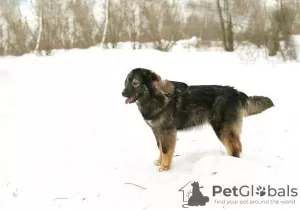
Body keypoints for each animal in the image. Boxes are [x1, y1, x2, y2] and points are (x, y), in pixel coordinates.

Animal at [121, 68, 274, 171]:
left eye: (135, 83)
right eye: (126, 82)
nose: (122, 93)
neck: (157, 97)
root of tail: (236, 93)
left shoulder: (167, 131)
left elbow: (165, 150)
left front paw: (165, 166)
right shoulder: (157, 131)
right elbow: (159, 147)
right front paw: (160, 161)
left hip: (222, 128)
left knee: (235, 146)